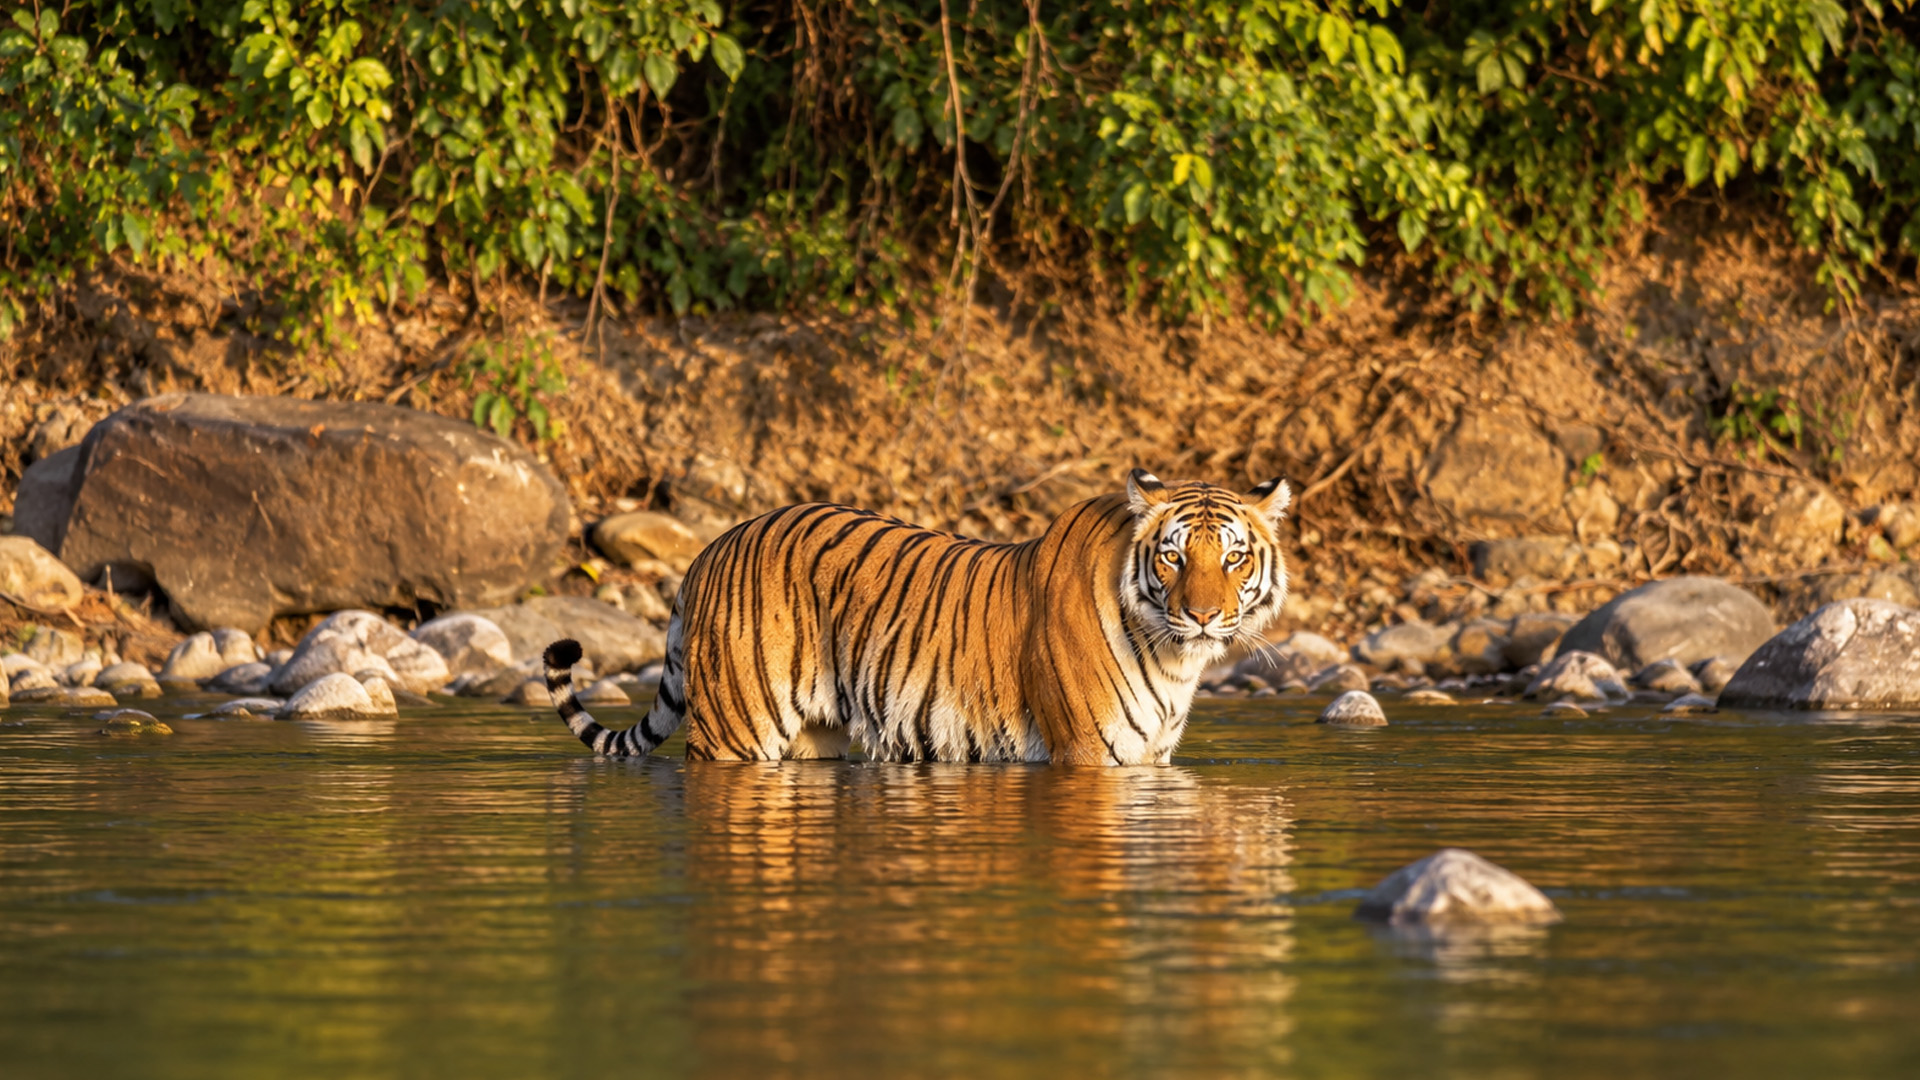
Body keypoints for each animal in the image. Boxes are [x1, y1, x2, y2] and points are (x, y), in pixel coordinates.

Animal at [542, 469, 1293, 765]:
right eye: (1172, 557)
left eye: (1233, 558)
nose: (1203, 616)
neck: (1174, 657)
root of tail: (710, 548)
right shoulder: (1088, 754)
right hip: (735, 731)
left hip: (812, 738)